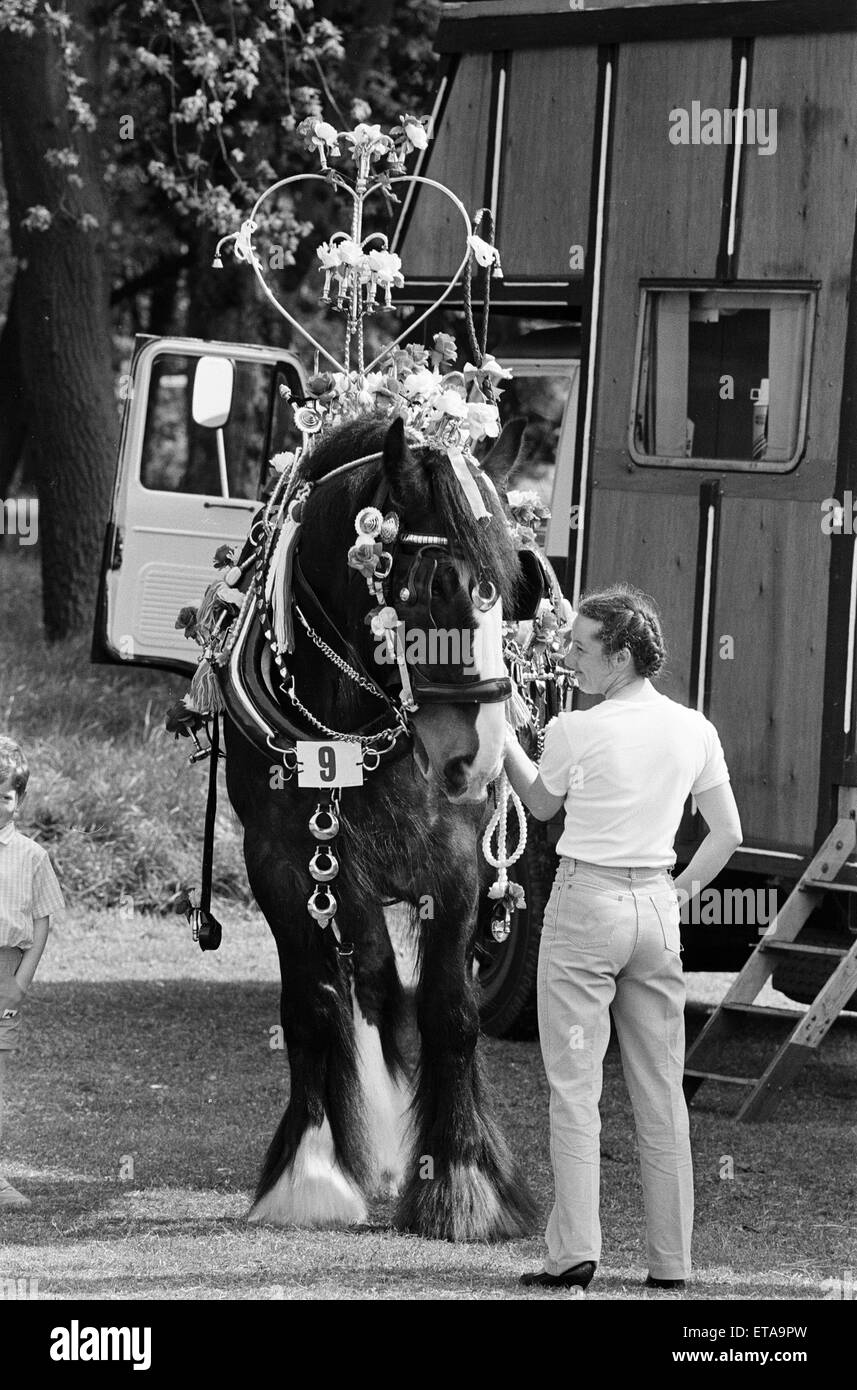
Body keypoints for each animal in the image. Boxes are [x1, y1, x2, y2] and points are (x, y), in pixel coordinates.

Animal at [223, 411, 538, 1239]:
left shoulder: (454, 861)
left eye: (511, 590)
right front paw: (308, 1172)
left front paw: (462, 1179)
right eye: (435, 585)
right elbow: (315, 1004)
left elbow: (449, 1011)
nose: (478, 755)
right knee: (367, 981)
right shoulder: (282, 860)